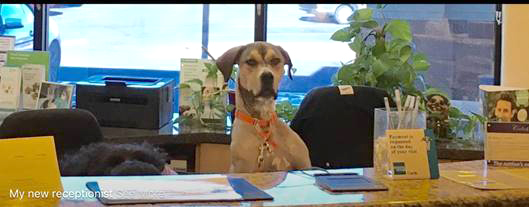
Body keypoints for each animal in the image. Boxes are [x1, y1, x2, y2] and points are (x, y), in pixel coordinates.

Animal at [216, 41, 312, 172]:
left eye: (275, 60)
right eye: (251, 61)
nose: (267, 76)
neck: (263, 121)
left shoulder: (305, 164)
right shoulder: (243, 168)